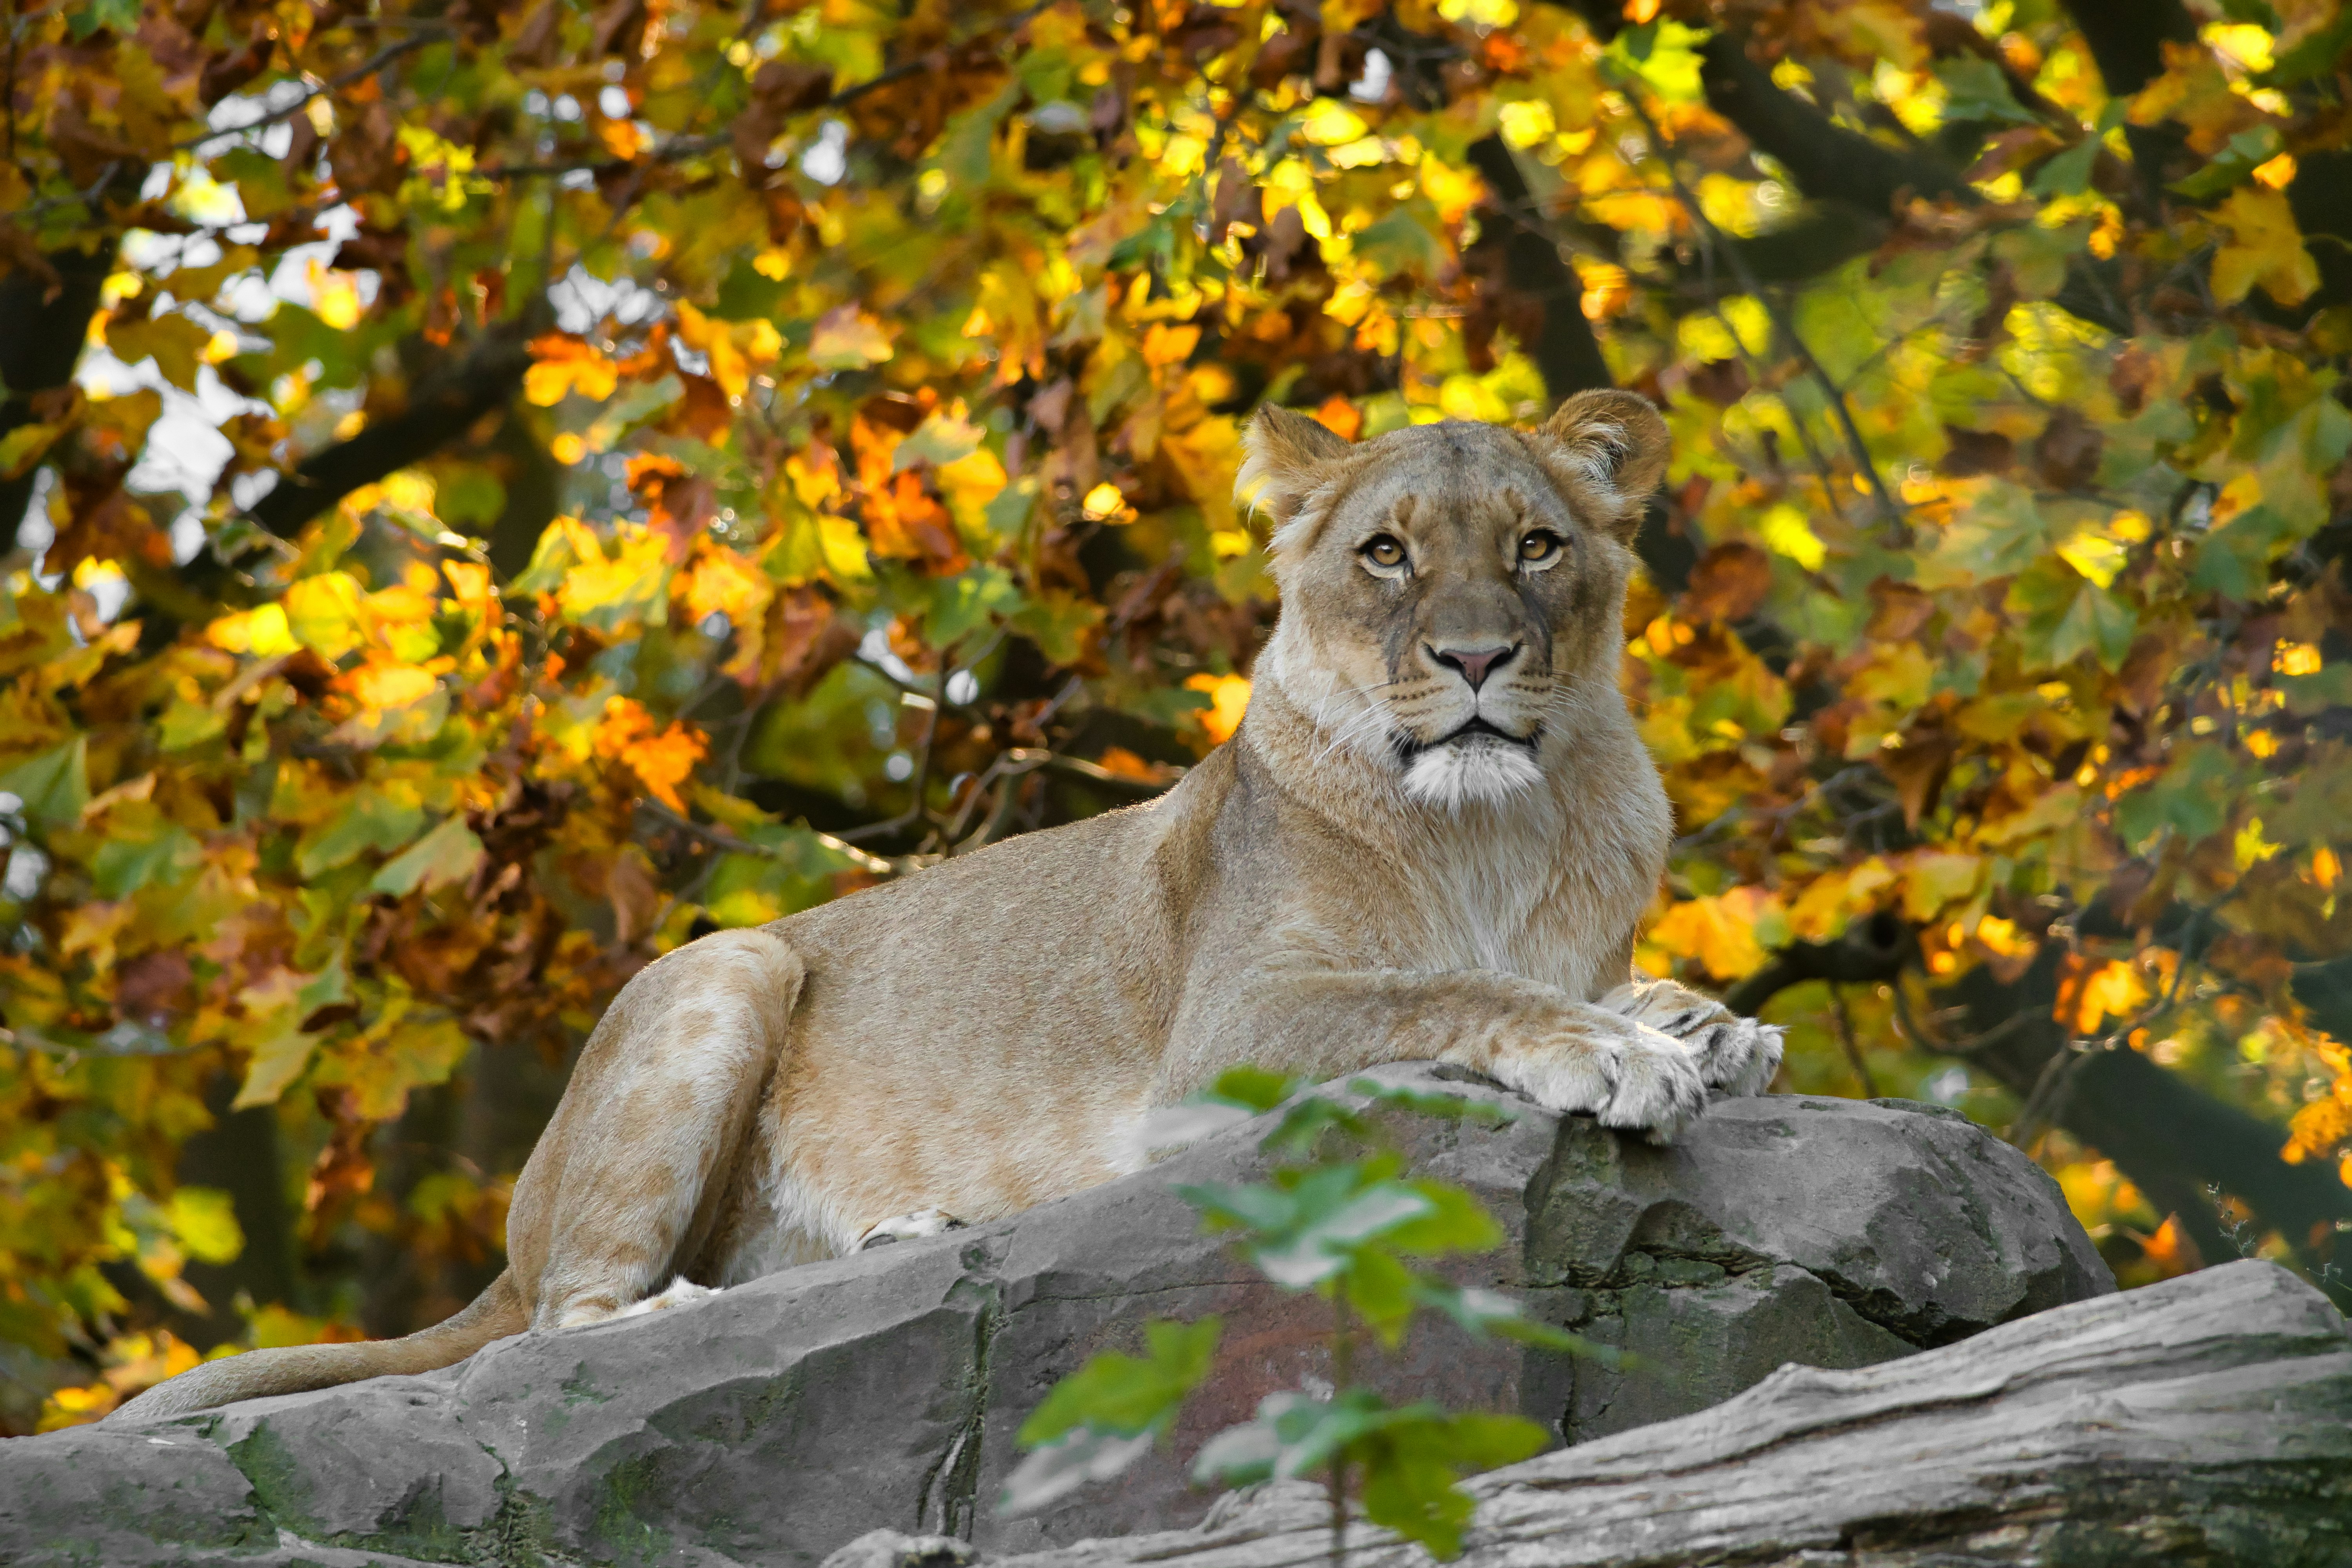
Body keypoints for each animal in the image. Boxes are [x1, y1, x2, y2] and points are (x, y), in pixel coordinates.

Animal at [113, 389, 1781, 1422]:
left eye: (1537, 545)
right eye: (1385, 553)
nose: (1479, 658)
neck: (1494, 824)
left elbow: (1590, 980)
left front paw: (1711, 1026)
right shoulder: (1225, 1047)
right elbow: (1444, 988)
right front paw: (1619, 1053)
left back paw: (904, 1234)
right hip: (723, 974)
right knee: (558, 1324)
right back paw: (694, 1305)